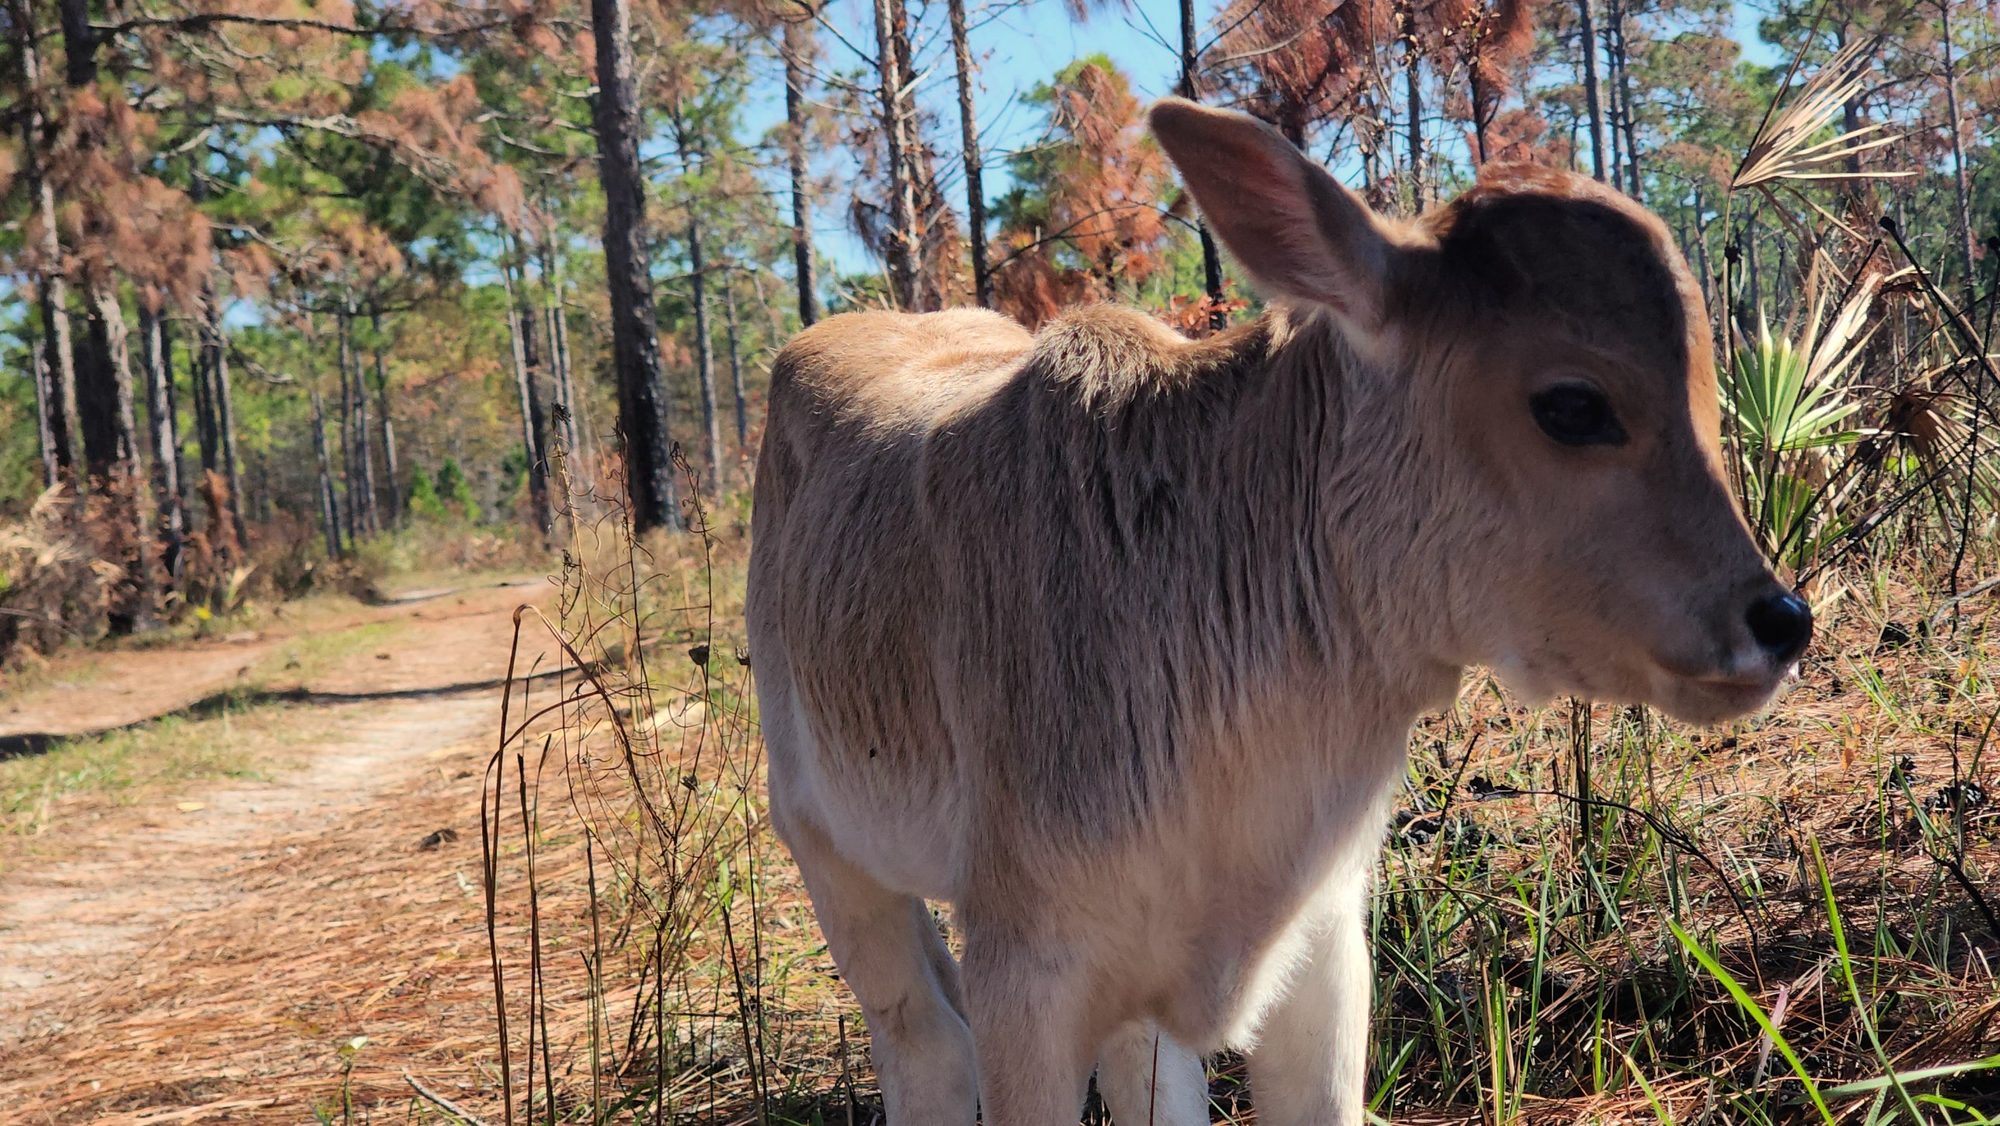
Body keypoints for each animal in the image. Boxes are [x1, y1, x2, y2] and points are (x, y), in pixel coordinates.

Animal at [745, 97, 1810, 1126]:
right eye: (1574, 406)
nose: (1780, 620)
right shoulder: (1025, 977)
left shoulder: (1326, 952)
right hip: (827, 852)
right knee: (924, 1043)